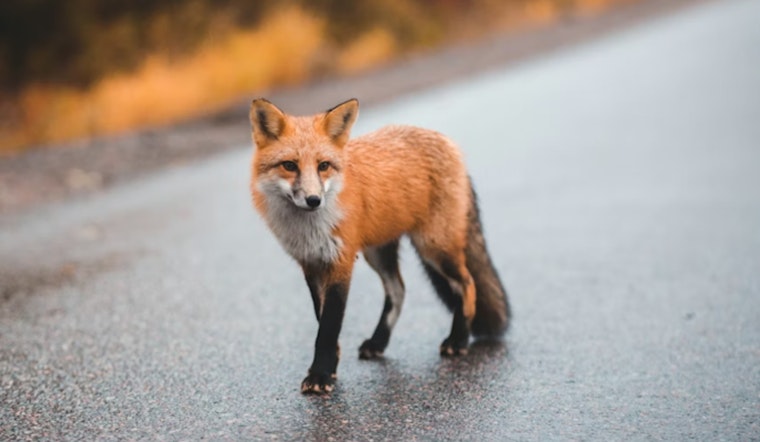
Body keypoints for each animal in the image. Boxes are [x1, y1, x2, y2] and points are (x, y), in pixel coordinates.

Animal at [249, 98, 510, 394]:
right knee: (398, 290)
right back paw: (378, 342)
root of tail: (447, 141)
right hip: (378, 253)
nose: (314, 200)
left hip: (434, 247)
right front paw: (330, 367)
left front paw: (321, 374)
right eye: (290, 165)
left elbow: (328, 326)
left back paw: (458, 340)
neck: (309, 229)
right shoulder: (311, 264)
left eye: (323, 165)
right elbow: (322, 320)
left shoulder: (341, 262)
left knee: (467, 284)